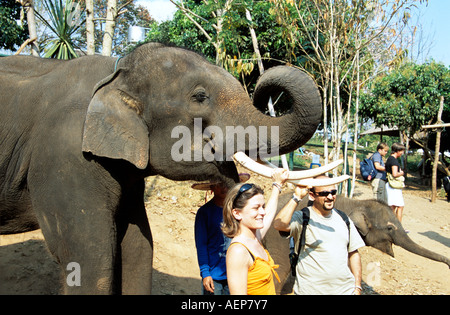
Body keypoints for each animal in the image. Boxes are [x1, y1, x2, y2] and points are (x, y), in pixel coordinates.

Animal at [0, 43, 324, 296]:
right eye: (200, 97)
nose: (262, 87)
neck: (116, 73)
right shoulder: (65, 158)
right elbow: (89, 258)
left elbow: (139, 247)